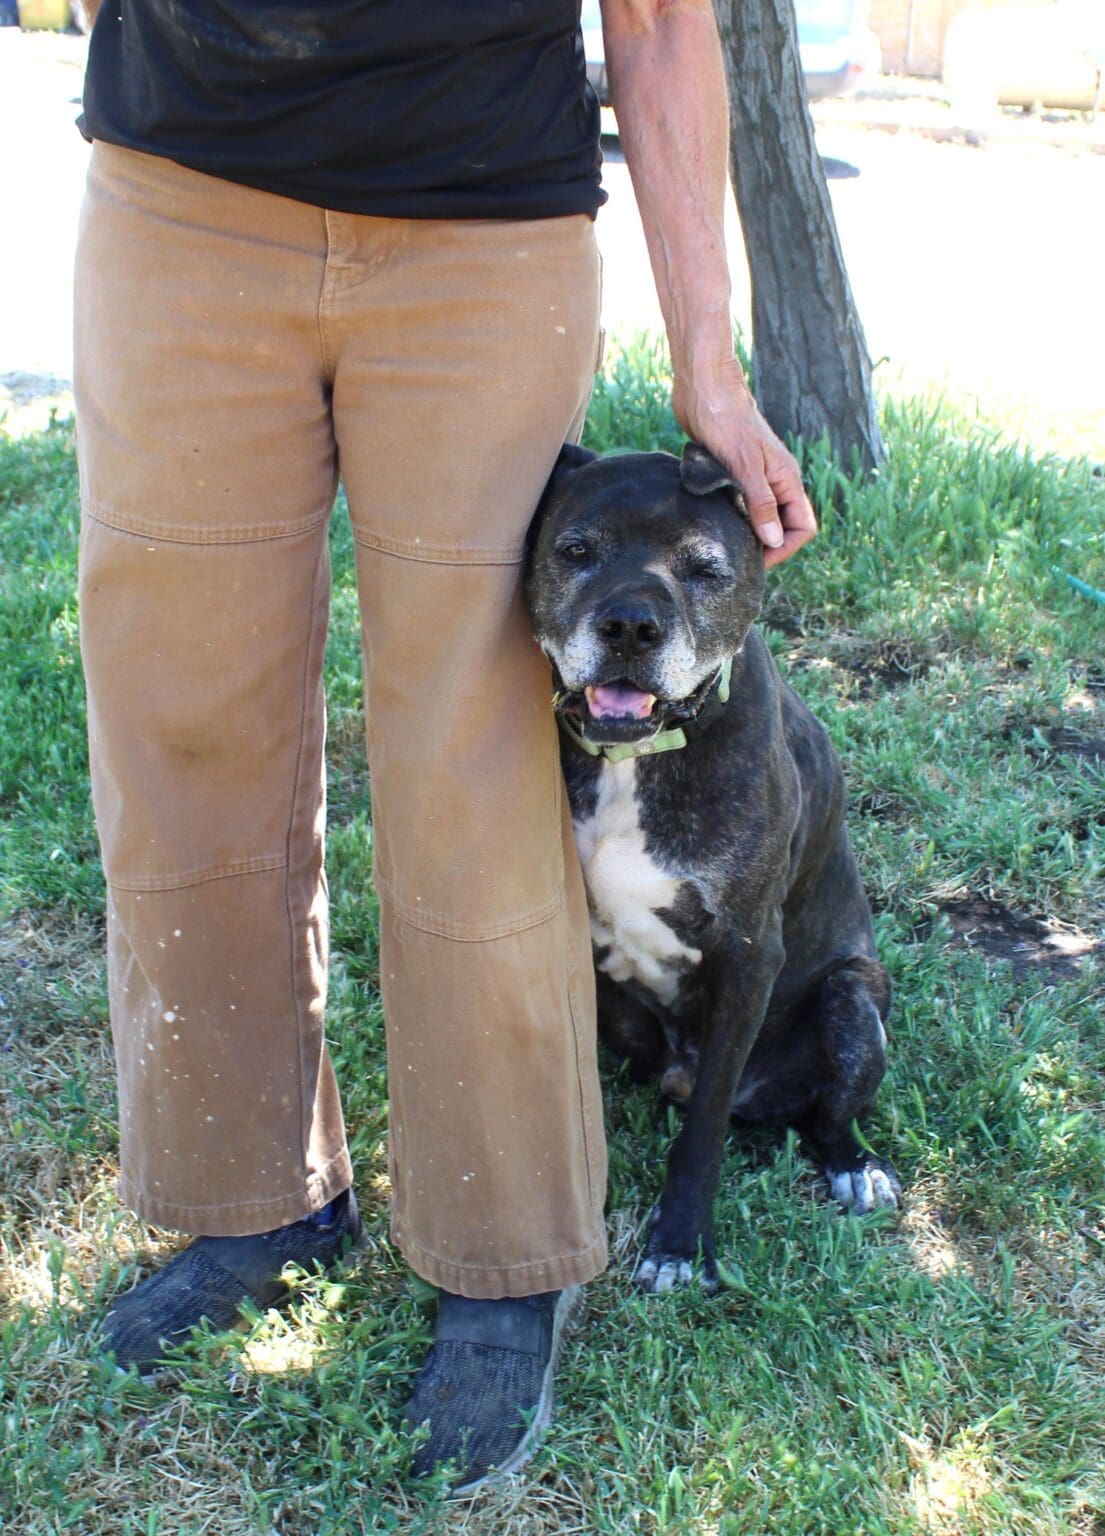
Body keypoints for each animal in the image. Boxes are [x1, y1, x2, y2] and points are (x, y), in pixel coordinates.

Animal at [525, 445, 897, 1296]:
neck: (635, 758)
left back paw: (854, 1168)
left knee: (825, 1114)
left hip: (851, 1000)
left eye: (704, 569)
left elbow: (702, 1135)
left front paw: (680, 1244)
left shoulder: (747, 954)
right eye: (575, 551)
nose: (630, 625)